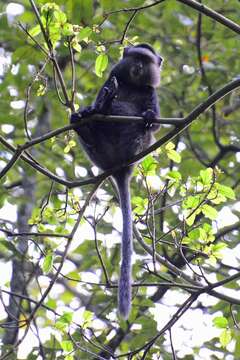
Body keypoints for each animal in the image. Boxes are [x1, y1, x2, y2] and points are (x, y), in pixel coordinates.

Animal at [70, 44, 162, 318]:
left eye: (146, 61)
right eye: (135, 58)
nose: (139, 66)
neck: (131, 84)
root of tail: (120, 169)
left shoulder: (151, 93)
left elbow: (155, 124)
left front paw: (149, 116)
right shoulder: (110, 80)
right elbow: (102, 93)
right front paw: (98, 105)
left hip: (137, 148)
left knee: (142, 132)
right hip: (98, 154)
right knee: (87, 122)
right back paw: (93, 116)